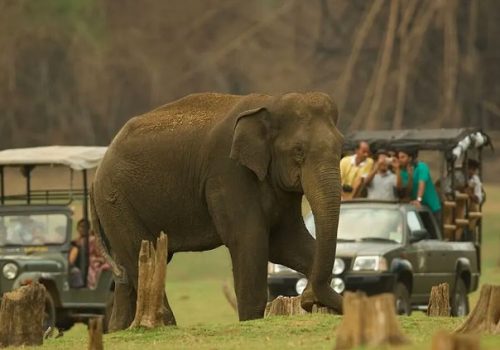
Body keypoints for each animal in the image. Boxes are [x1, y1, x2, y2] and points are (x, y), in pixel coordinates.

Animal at [91, 91, 344, 330]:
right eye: (298, 150)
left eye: (342, 150)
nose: (308, 300)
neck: (271, 102)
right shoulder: (228, 174)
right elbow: (249, 242)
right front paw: (250, 321)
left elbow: (287, 243)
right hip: (116, 201)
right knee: (139, 256)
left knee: (126, 275)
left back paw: (120, 328)